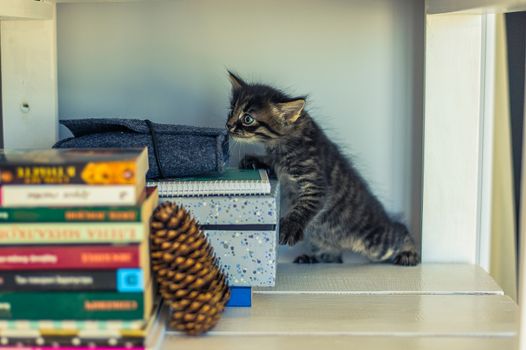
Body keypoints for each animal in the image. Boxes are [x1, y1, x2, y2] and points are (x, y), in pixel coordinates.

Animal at [226, 71, 420, 266]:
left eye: (247, 119)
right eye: (231, 111)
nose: (228, 125)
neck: (282, 145)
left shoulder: (315, 184)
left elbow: (301, 209)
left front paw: (289, 227)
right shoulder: (280, 166)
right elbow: (270, 163)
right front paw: (253, 160)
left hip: (375, 243)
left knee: (400, 230)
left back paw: (410, 254)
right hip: (321, 240)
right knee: (335, 257)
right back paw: (313, 258)